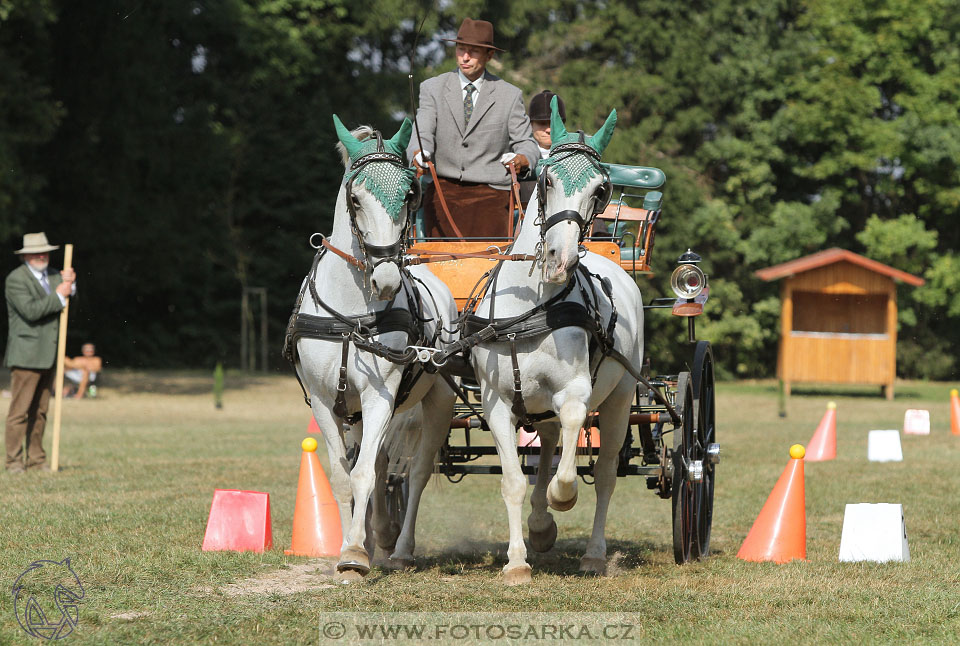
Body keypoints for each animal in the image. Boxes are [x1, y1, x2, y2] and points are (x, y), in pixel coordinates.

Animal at [288, 117, 458, 584]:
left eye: (408, 194)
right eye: (355, 197)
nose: (386, 278)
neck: (350, 316)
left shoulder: (380, 395)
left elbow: (365, 473)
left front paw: (353, 555)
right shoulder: (325, 402)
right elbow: (344, 475)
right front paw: (352, 545)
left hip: (438, 400)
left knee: (415, 471)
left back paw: (399, 549)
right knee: (381, 464)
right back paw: (379, 534)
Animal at [466, 98, 640, 584]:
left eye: (601, 189)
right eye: (546, 178)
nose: (560, 259)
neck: (533, 308)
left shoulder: (576, 392)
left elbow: (572, 448)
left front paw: (562, 500)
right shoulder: (497, 403)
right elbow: (513, 481)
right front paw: (517, 561)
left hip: (620, 398)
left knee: (604, 474)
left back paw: (593, 553)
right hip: (535, 404)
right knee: (544, 447)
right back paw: (541, 527)